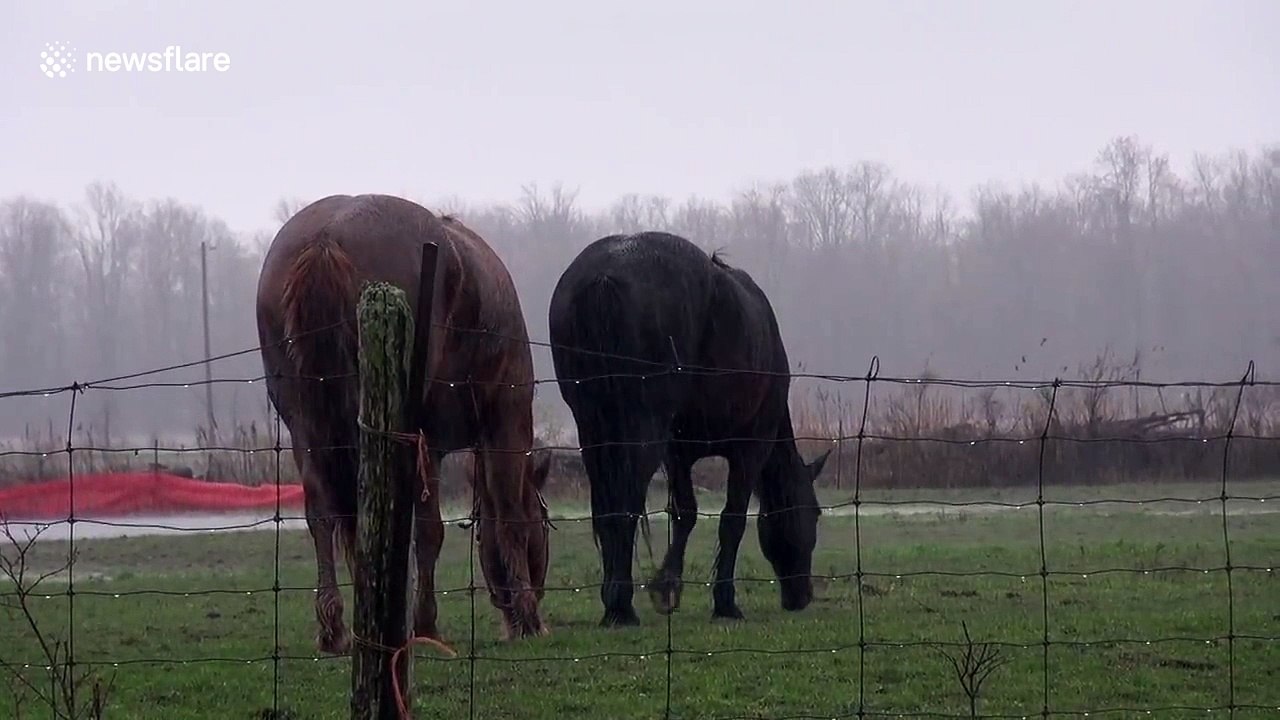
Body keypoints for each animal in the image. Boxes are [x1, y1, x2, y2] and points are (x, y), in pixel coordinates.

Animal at [255, 193, 553, 653]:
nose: (533, 596)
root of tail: (326, 237)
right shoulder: (502, 421)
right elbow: (498, 517)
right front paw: (519, 616)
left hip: (305, 422)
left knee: (323, 511)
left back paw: (337, 627)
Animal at [547, 230, 829, 627]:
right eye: (815, 513)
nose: (801, 596)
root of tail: (604, 276)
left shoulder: (677, 453)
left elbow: (685, 514)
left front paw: (667, 587)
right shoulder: (750, 447)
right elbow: (732, 520)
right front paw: (724, 602)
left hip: (593, 430)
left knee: (608, 508)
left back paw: (613, 602)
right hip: (640, 432)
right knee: (627, 503)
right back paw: (621, 605)